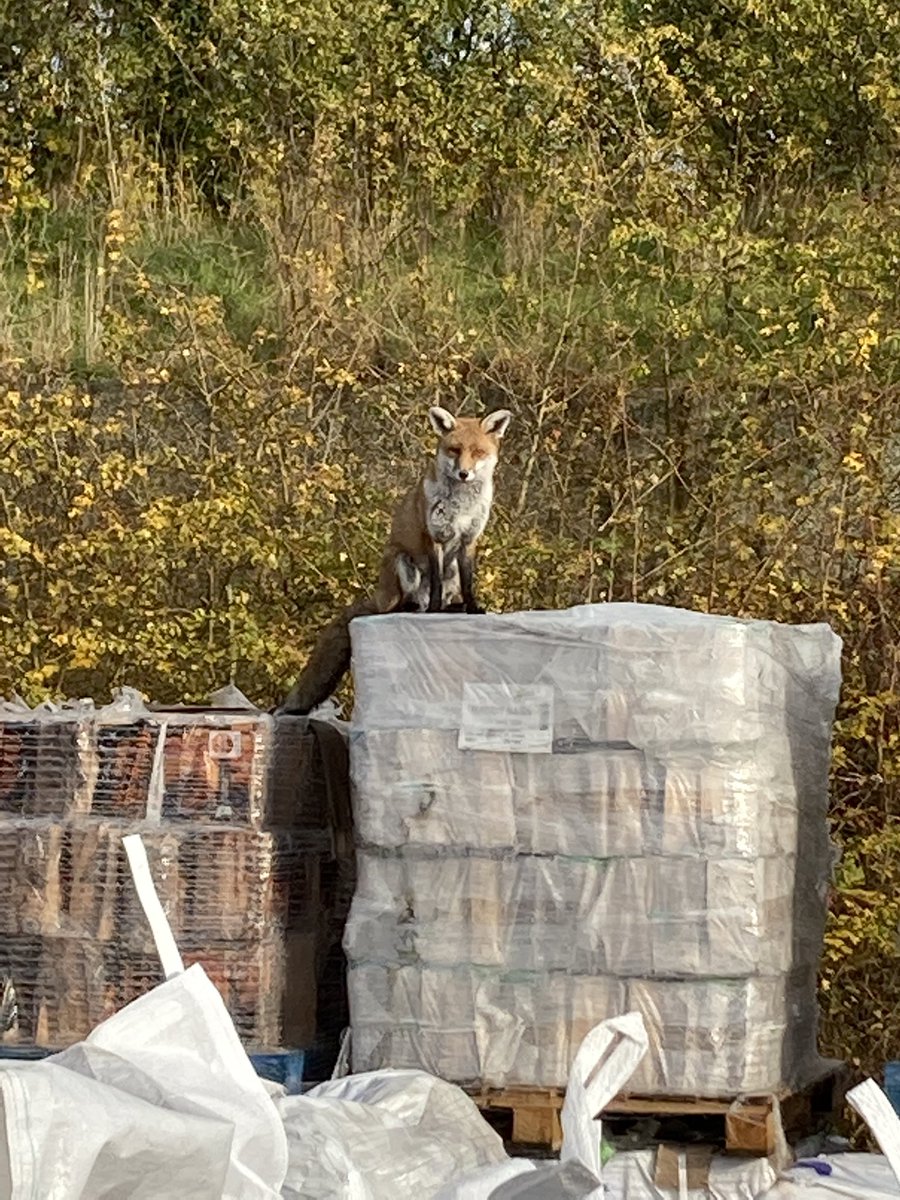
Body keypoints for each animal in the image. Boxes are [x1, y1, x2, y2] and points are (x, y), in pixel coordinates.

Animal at [279, 406, 512, 714]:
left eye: (477, 452)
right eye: (454, 450)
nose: (463, 473)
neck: (461, 505)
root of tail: (379, 597)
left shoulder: (468, 540)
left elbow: (469, 582)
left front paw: (473, 608)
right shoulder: (432, 537)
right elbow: (435, 583)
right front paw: (435, 612)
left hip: (445, 570)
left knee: (444, 595)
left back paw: (454, 607)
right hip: (401, 562)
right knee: (401, 606)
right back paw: (419, 608)